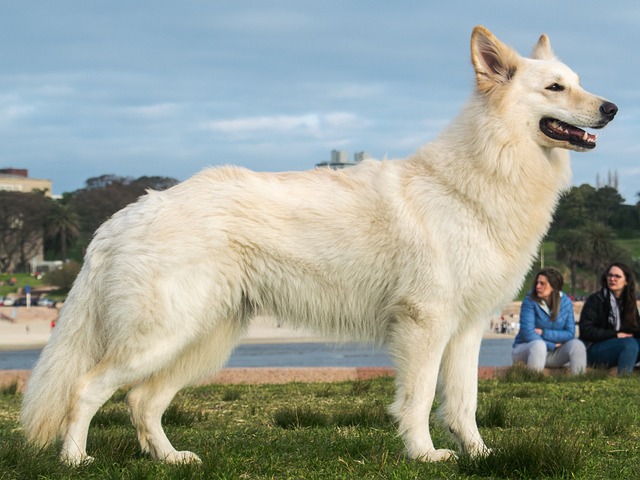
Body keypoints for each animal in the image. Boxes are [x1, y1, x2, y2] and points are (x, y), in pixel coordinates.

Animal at [22, 26, 616, 464]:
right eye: (556, 88)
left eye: (577, 81)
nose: (612, 108)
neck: (481, 175)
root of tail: (125, 214)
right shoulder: (425, 325)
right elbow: (421, 398)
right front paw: (424, 455)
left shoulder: (467, 328)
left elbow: (464, 404)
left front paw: (480, 455)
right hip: (163, 338)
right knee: (87, 390)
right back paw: (75, 460)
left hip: (200, 342)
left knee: (142, 402)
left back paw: (170, 459)